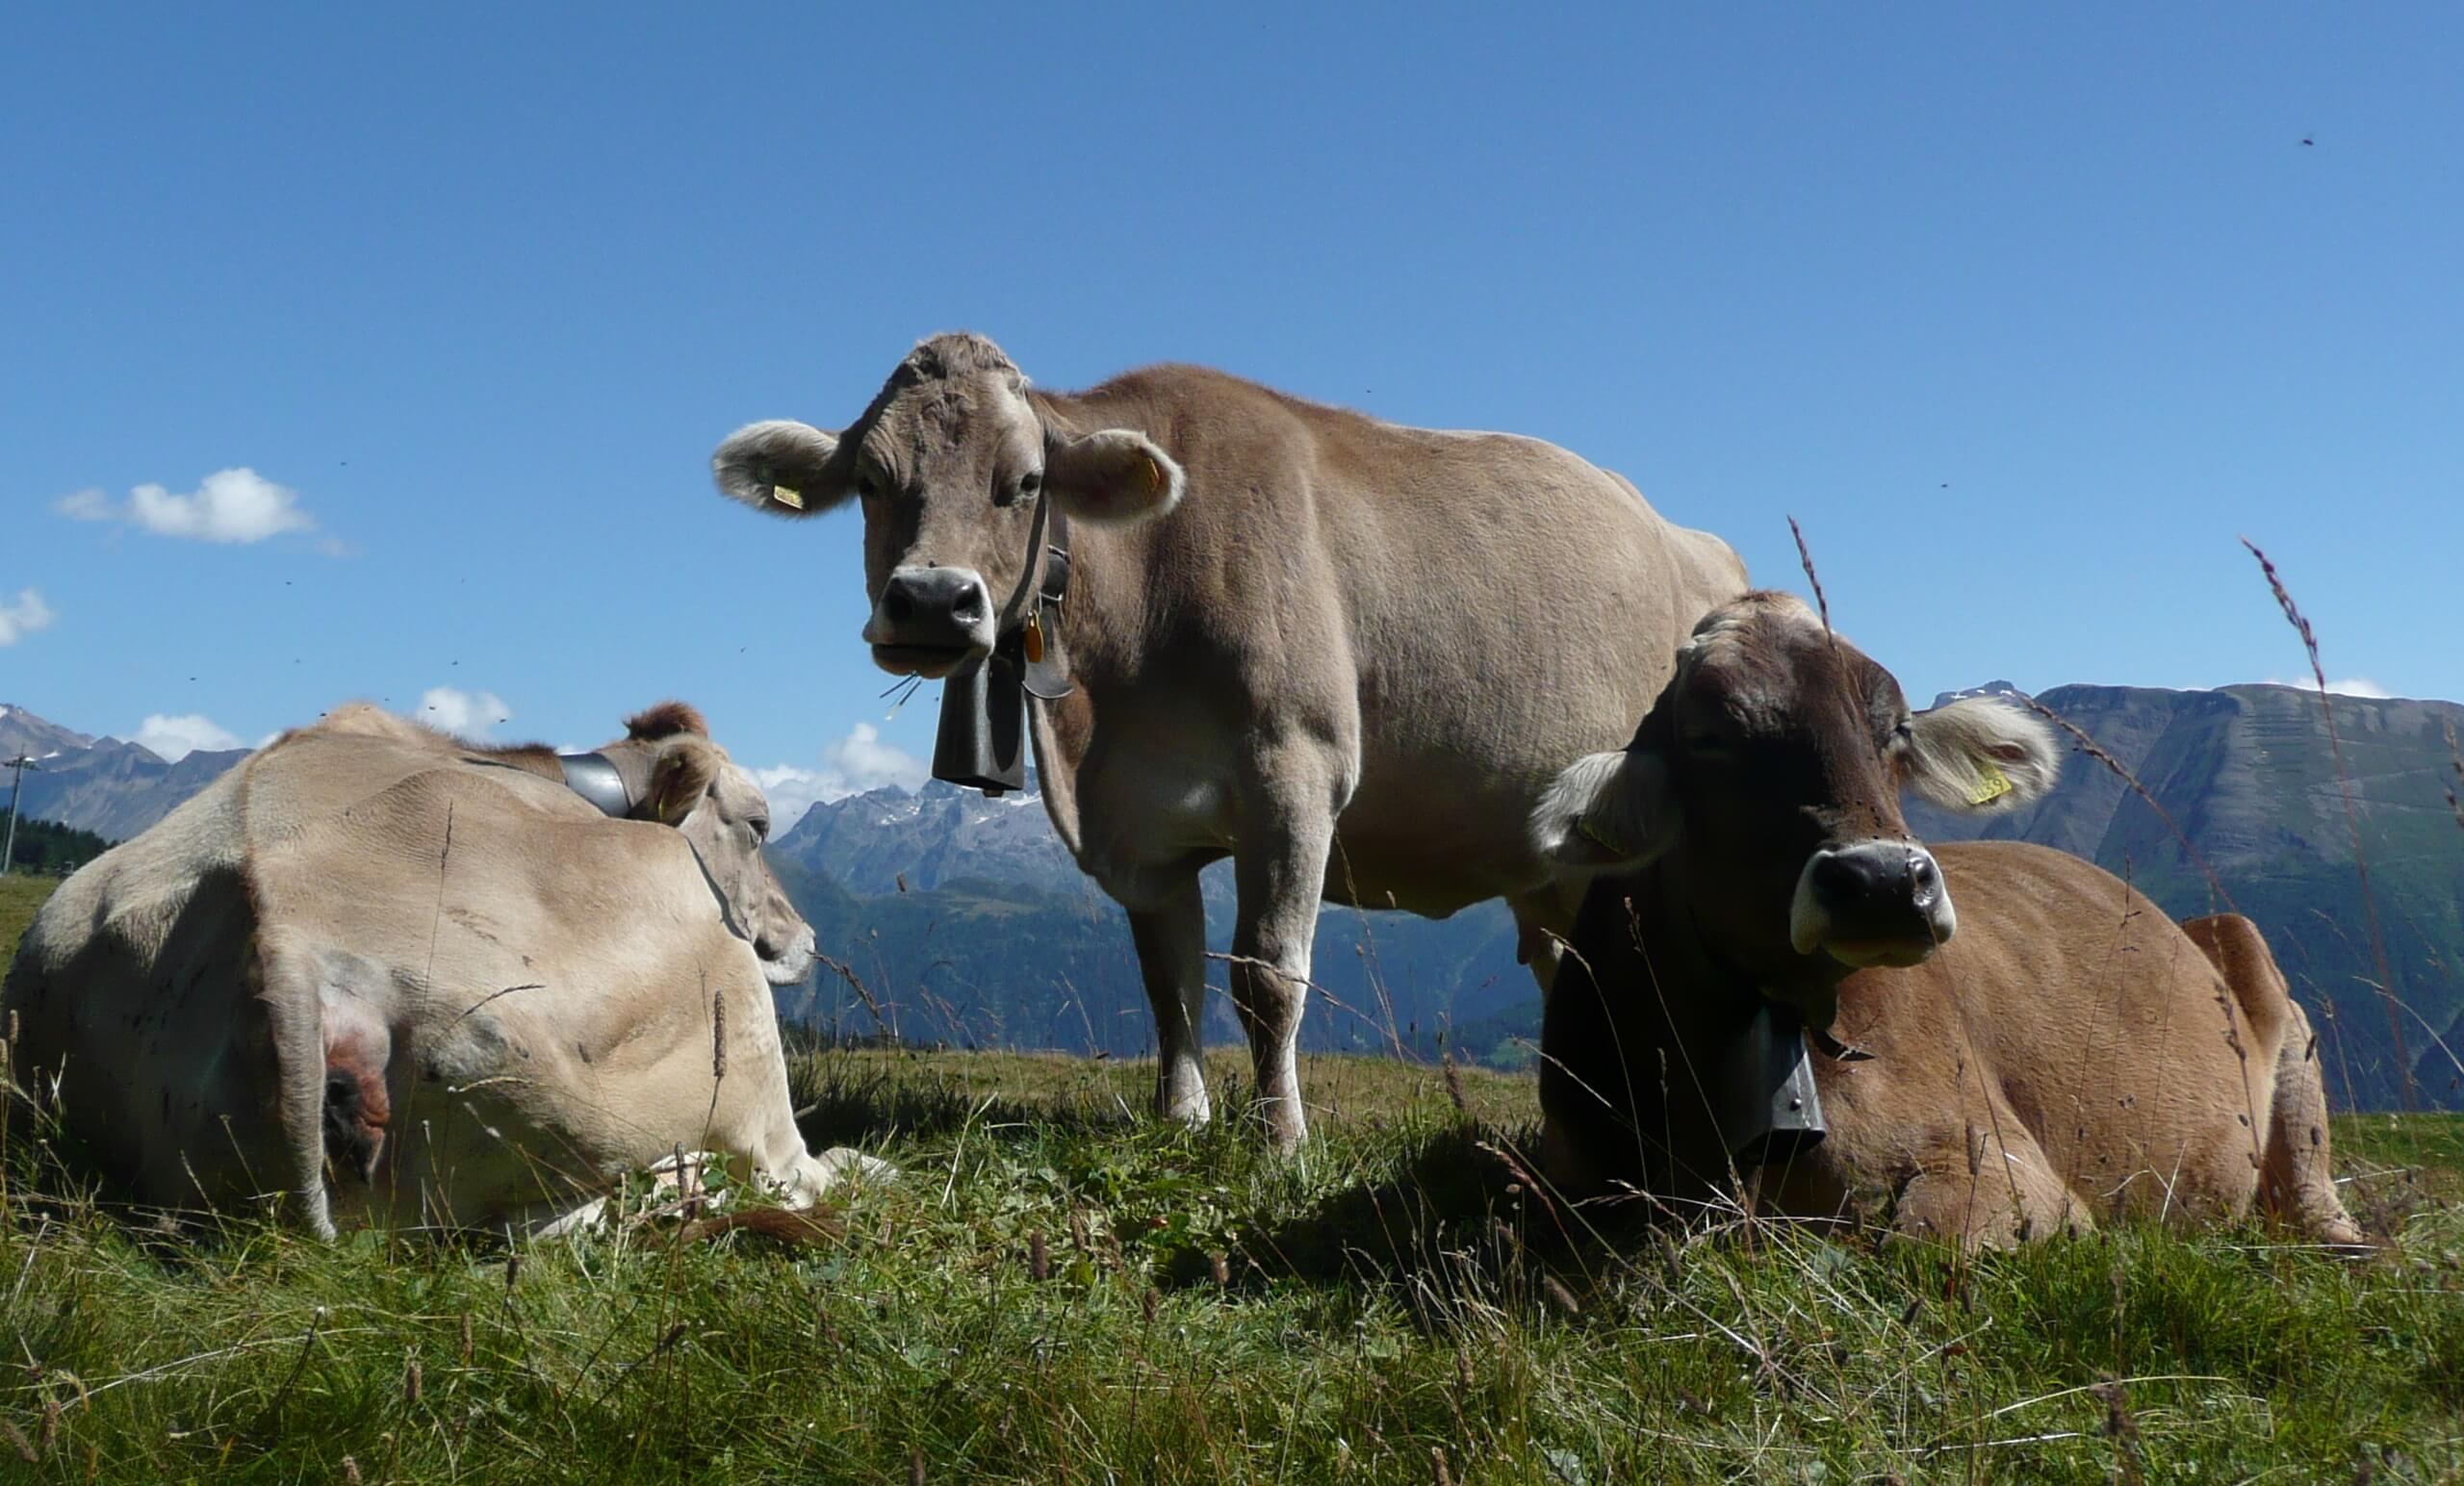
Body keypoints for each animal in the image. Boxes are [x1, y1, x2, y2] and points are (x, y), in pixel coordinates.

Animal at [711, 333, 1747, 1148]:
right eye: (872, 481)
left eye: (1025, 481)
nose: (931, 599)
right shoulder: (1138, 823)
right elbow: (1169, 978)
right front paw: (1183, 1116)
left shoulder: (1296, 771)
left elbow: (1266, 972)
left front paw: (1281, 1137)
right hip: (1549, 867)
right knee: (1571, 968)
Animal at [1527, 591, 2364, 1249]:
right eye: (1707, 736)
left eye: (1895, 728)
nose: (1883, 882)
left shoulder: (2005, 1163)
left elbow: (1921, 1242)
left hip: (2271, 1001)